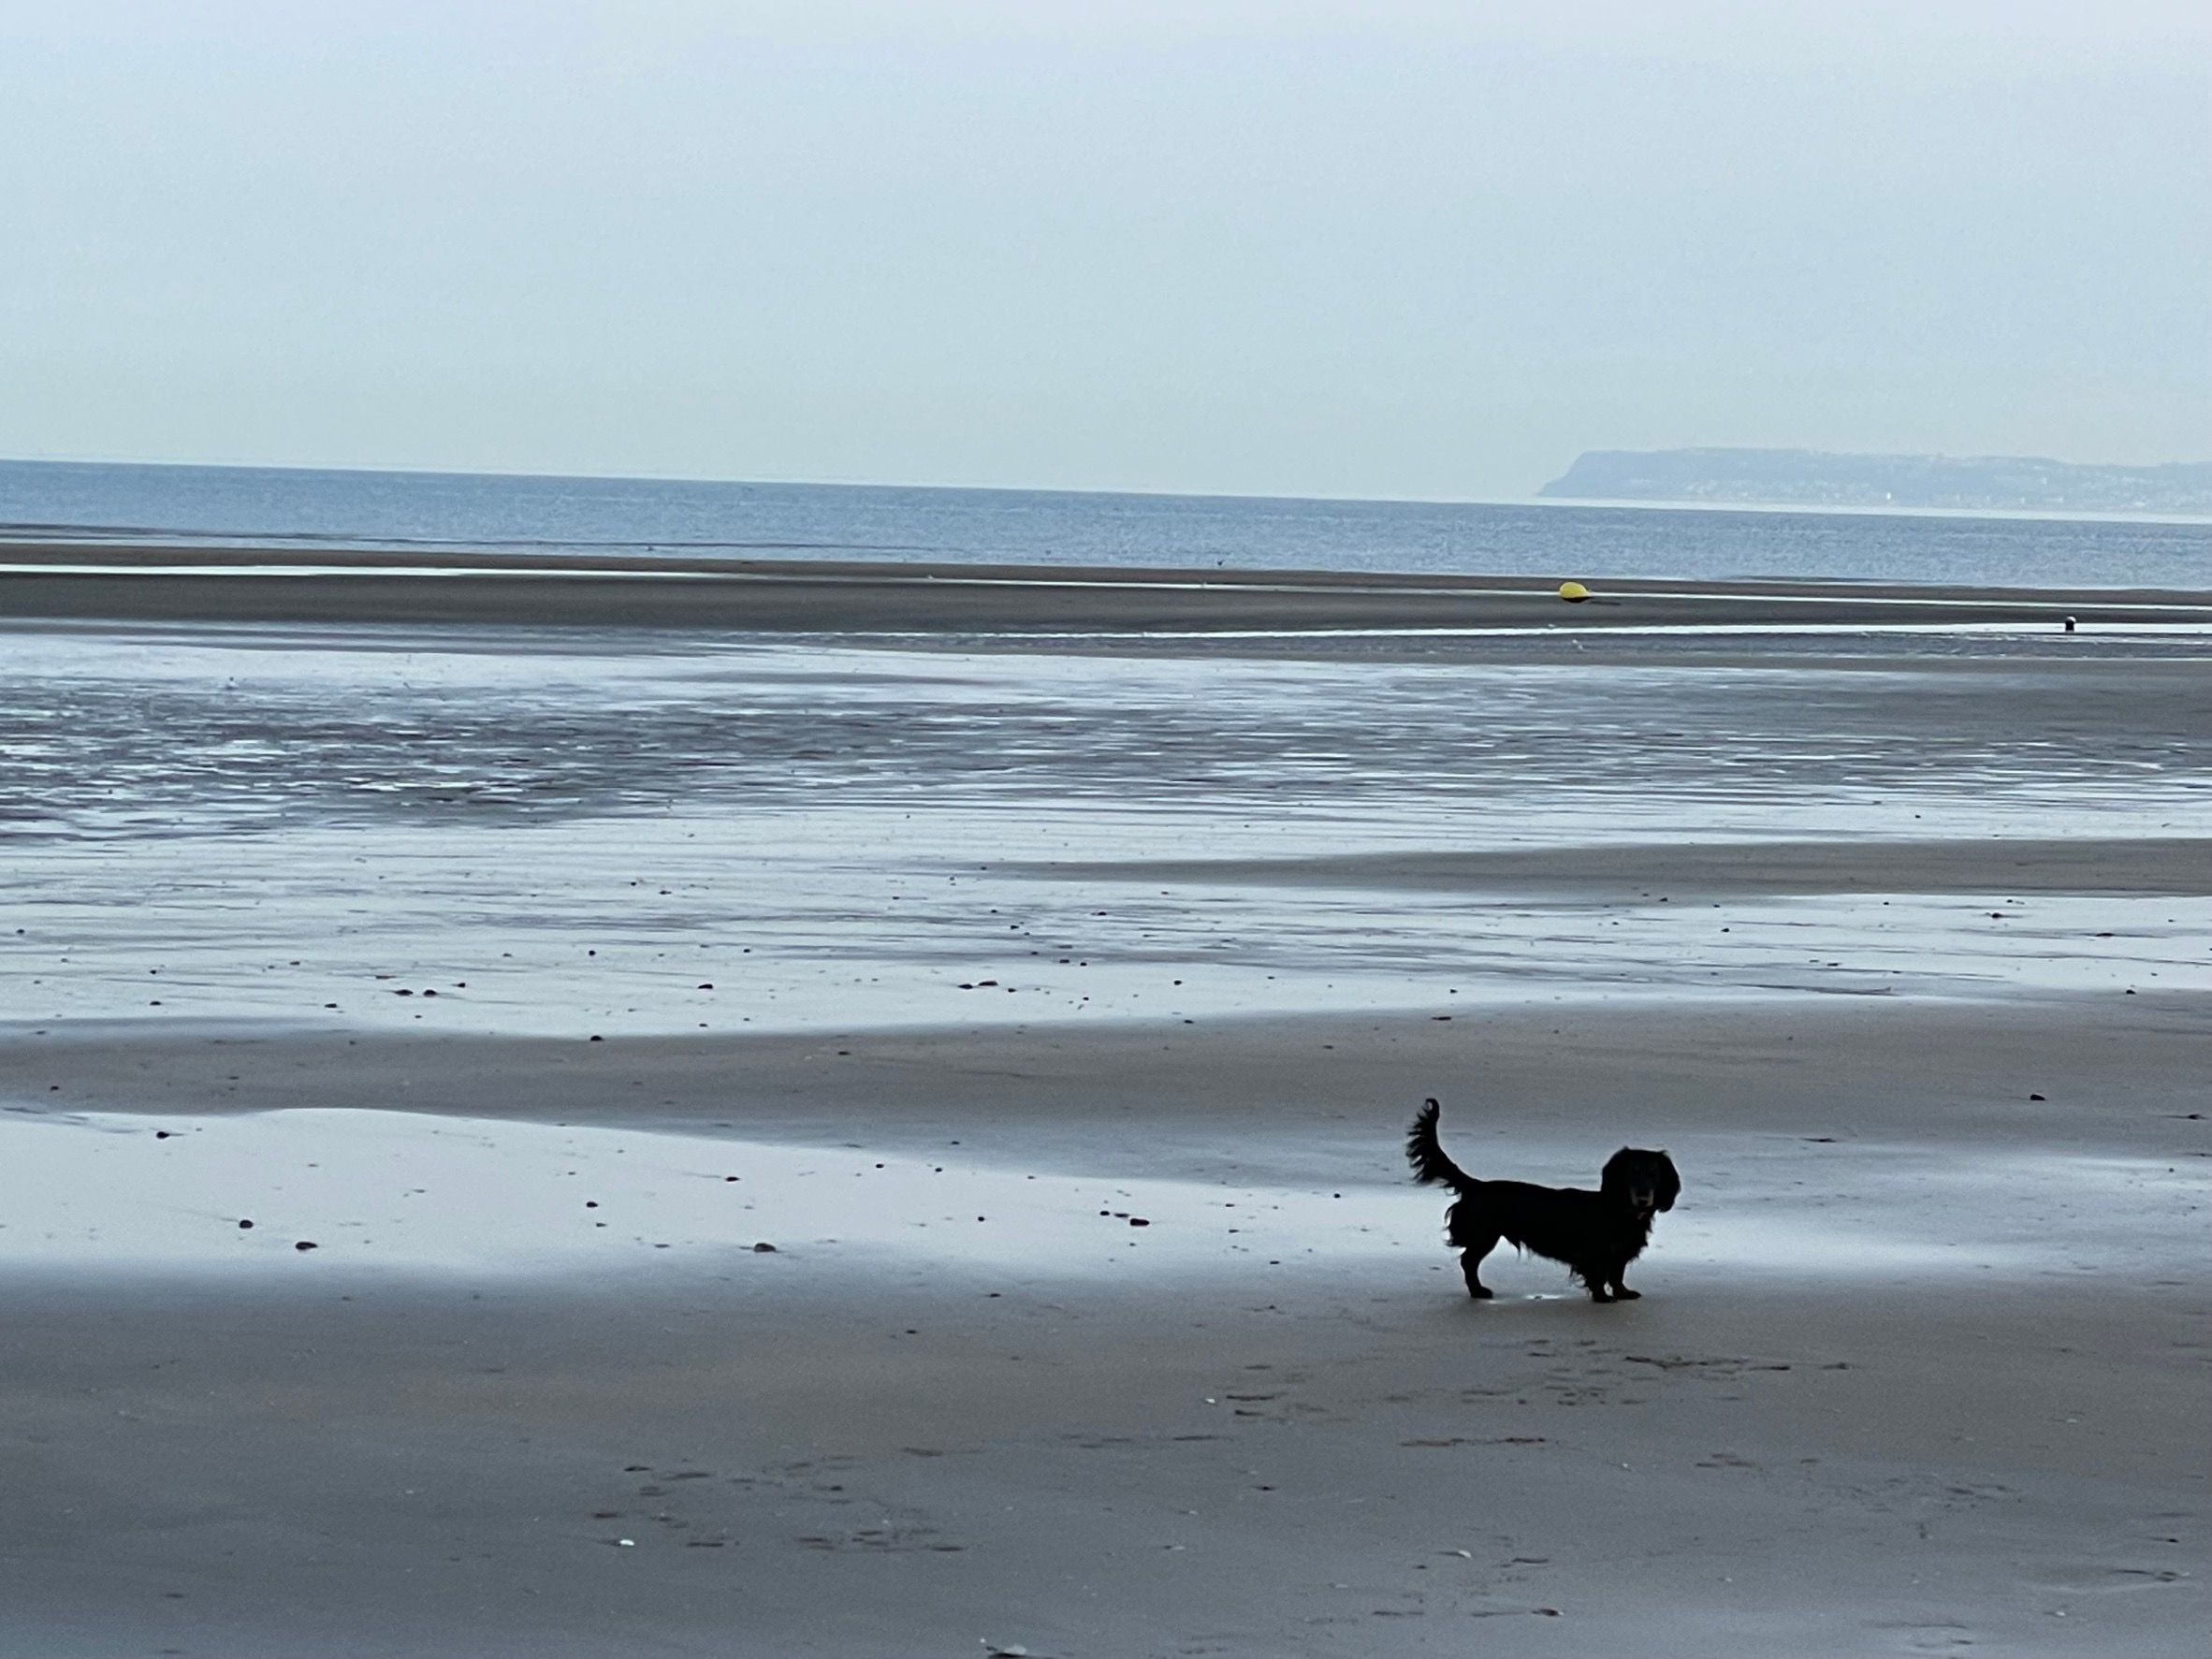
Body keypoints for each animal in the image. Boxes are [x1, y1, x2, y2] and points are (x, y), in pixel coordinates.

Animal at [1415, 1097, 1672, 1309]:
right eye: (1633, 1172)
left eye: (1654, 1173)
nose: (1643, 1199)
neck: (1619, 1212)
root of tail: (1476, 1185)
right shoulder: (1594, 1253)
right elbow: (1599, 1276)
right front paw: (1602, 1297)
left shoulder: (1619, 1254)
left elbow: (1618, 1275)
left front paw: (1623, 1293)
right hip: (1484, 1236)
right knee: (1468, 1262)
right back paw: (1478, 1291)